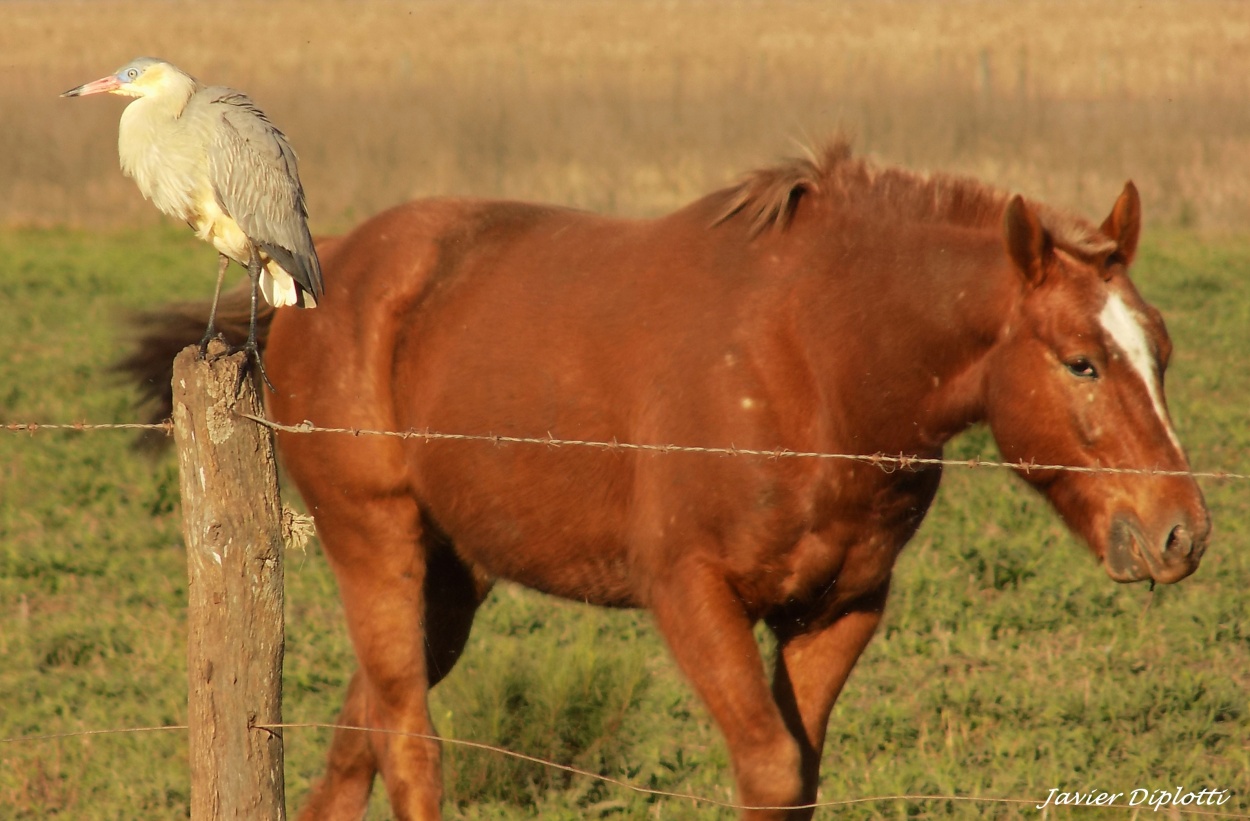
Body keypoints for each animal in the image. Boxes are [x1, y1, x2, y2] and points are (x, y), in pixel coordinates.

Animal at [126, 137, 1210, 814]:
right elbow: (769, 770)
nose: (1179, 531)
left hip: (451, 579)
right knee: (407, 743)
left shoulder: (839, 608)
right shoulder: (690, 592)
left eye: (1159, 347)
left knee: (359, 735)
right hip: (373, 539)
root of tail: (321, 278)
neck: (815, 358)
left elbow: (799, 774)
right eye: (1080, 360)